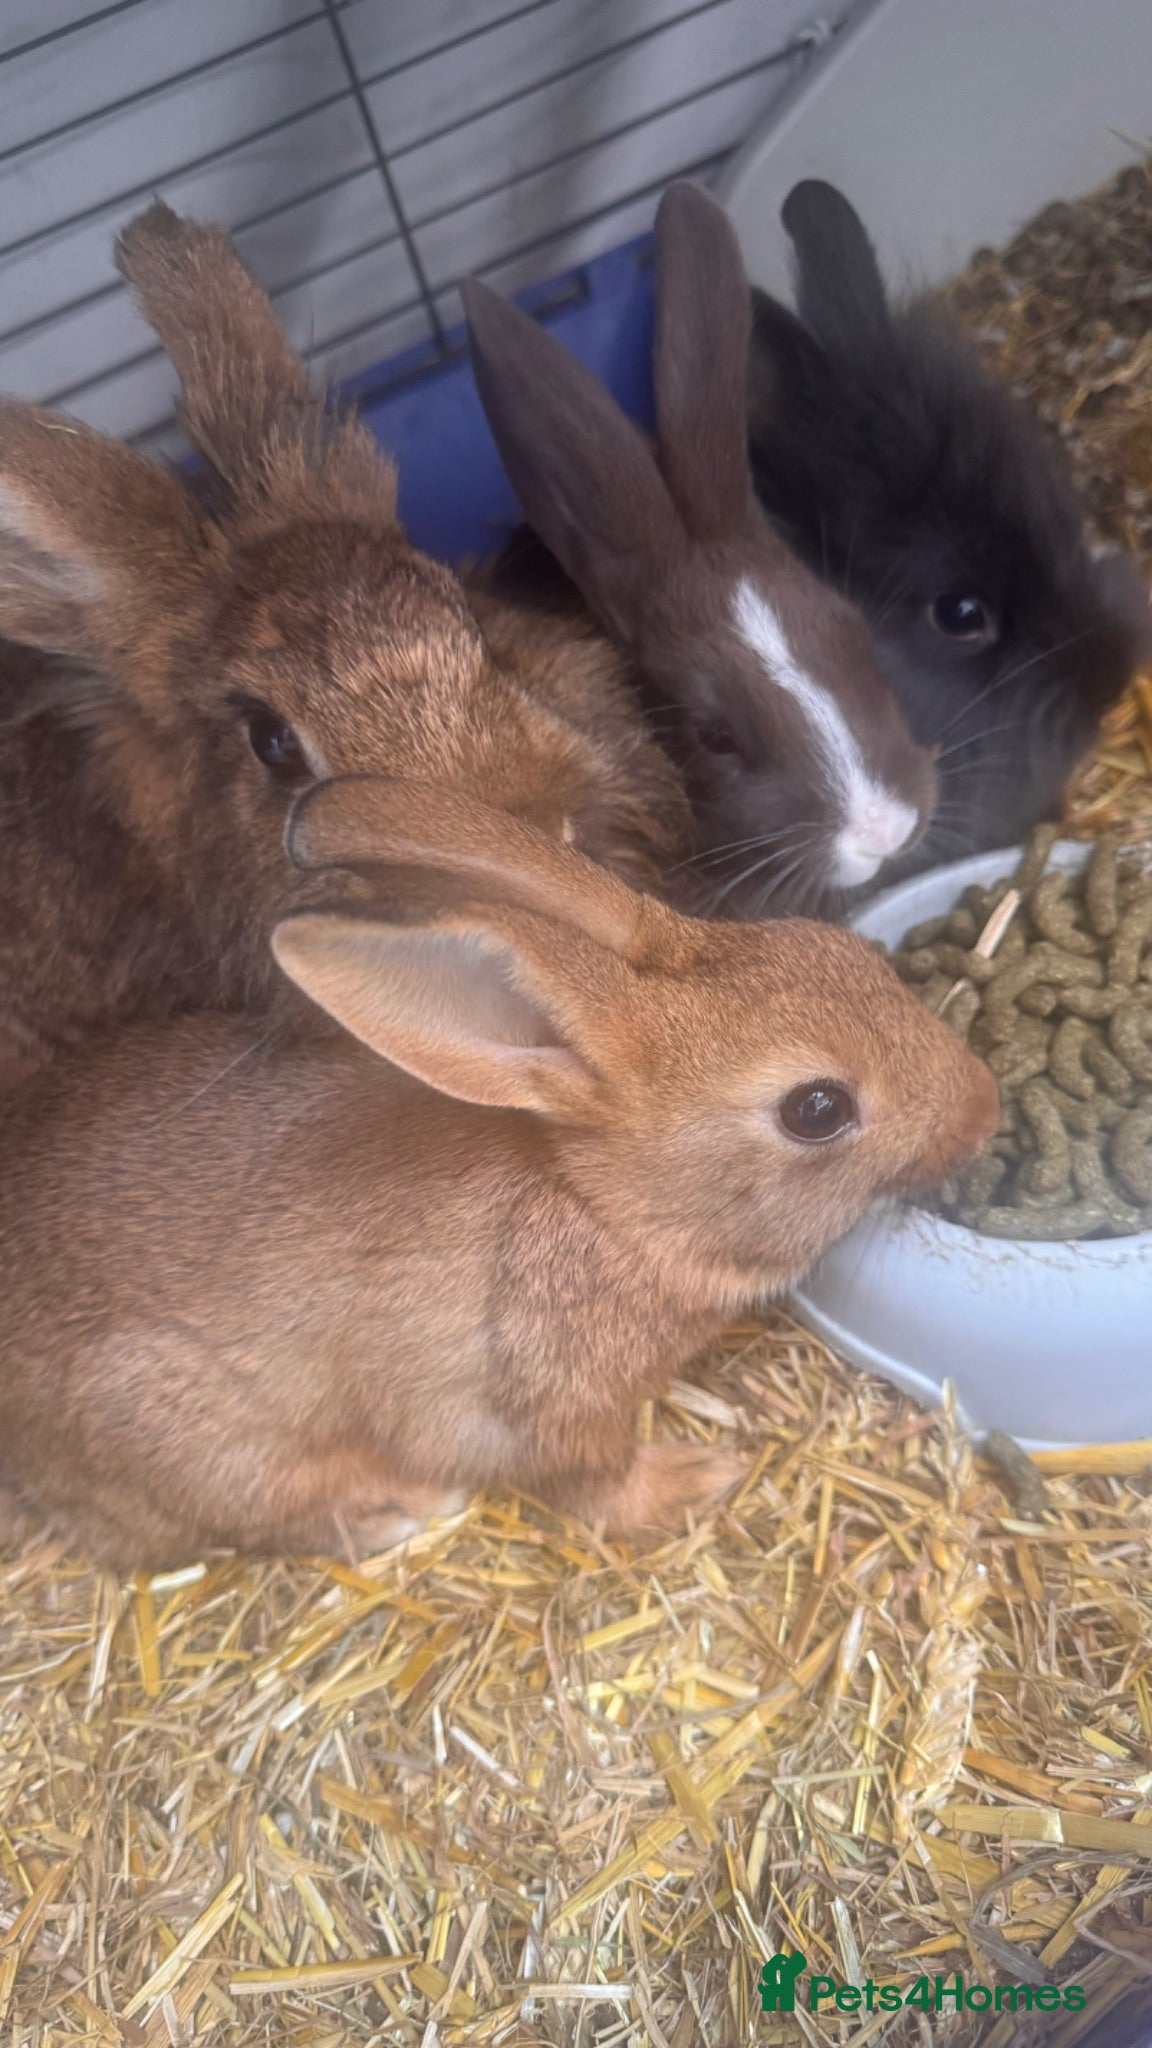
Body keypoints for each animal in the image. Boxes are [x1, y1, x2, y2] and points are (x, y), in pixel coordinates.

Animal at [0, 776, 998, 1568]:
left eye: (847, 953)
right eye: (817, 1110)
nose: (981, 1110)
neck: (607, 1208)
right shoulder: (537, 1411)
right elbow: (594, 1485)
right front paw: (691, 1480)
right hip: (185, 1431)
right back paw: (395, 1512)